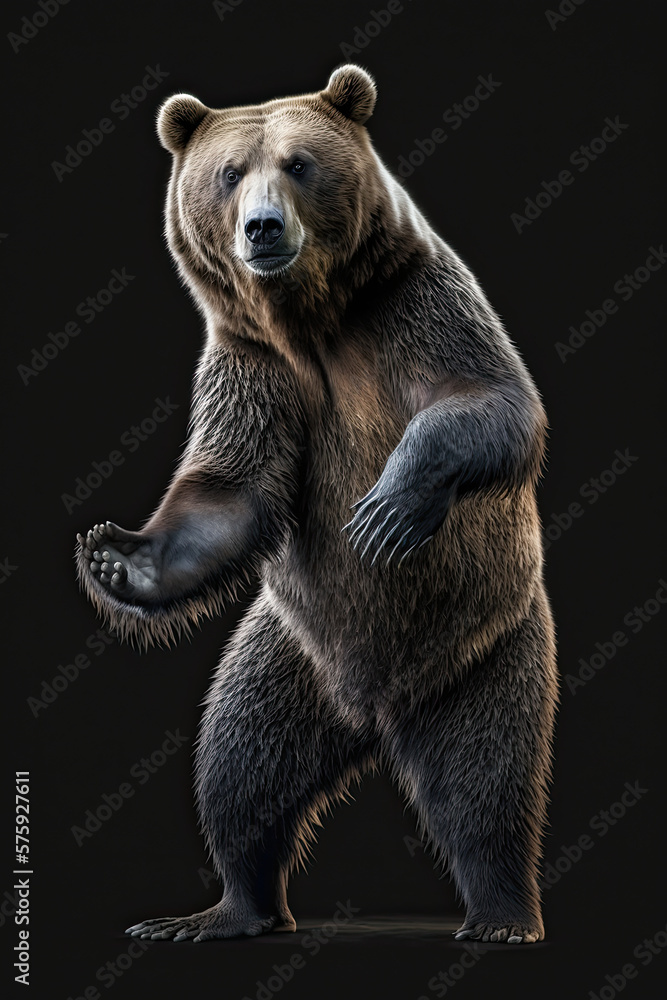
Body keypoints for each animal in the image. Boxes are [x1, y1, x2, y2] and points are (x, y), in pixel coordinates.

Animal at [76, 64, 558, 945]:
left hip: (483, 650)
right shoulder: (251, 364)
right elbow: (232, 487)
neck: (312, 321)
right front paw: (116, 556)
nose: (262, 227)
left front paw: (387, 508)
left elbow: (489, 402)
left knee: (488, 783)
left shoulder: (417, 308)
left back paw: (502, 915)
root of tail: (374, 712)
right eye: (229, 173)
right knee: (238, 766)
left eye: (298, 163)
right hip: (288, 655)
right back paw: (221, 910)